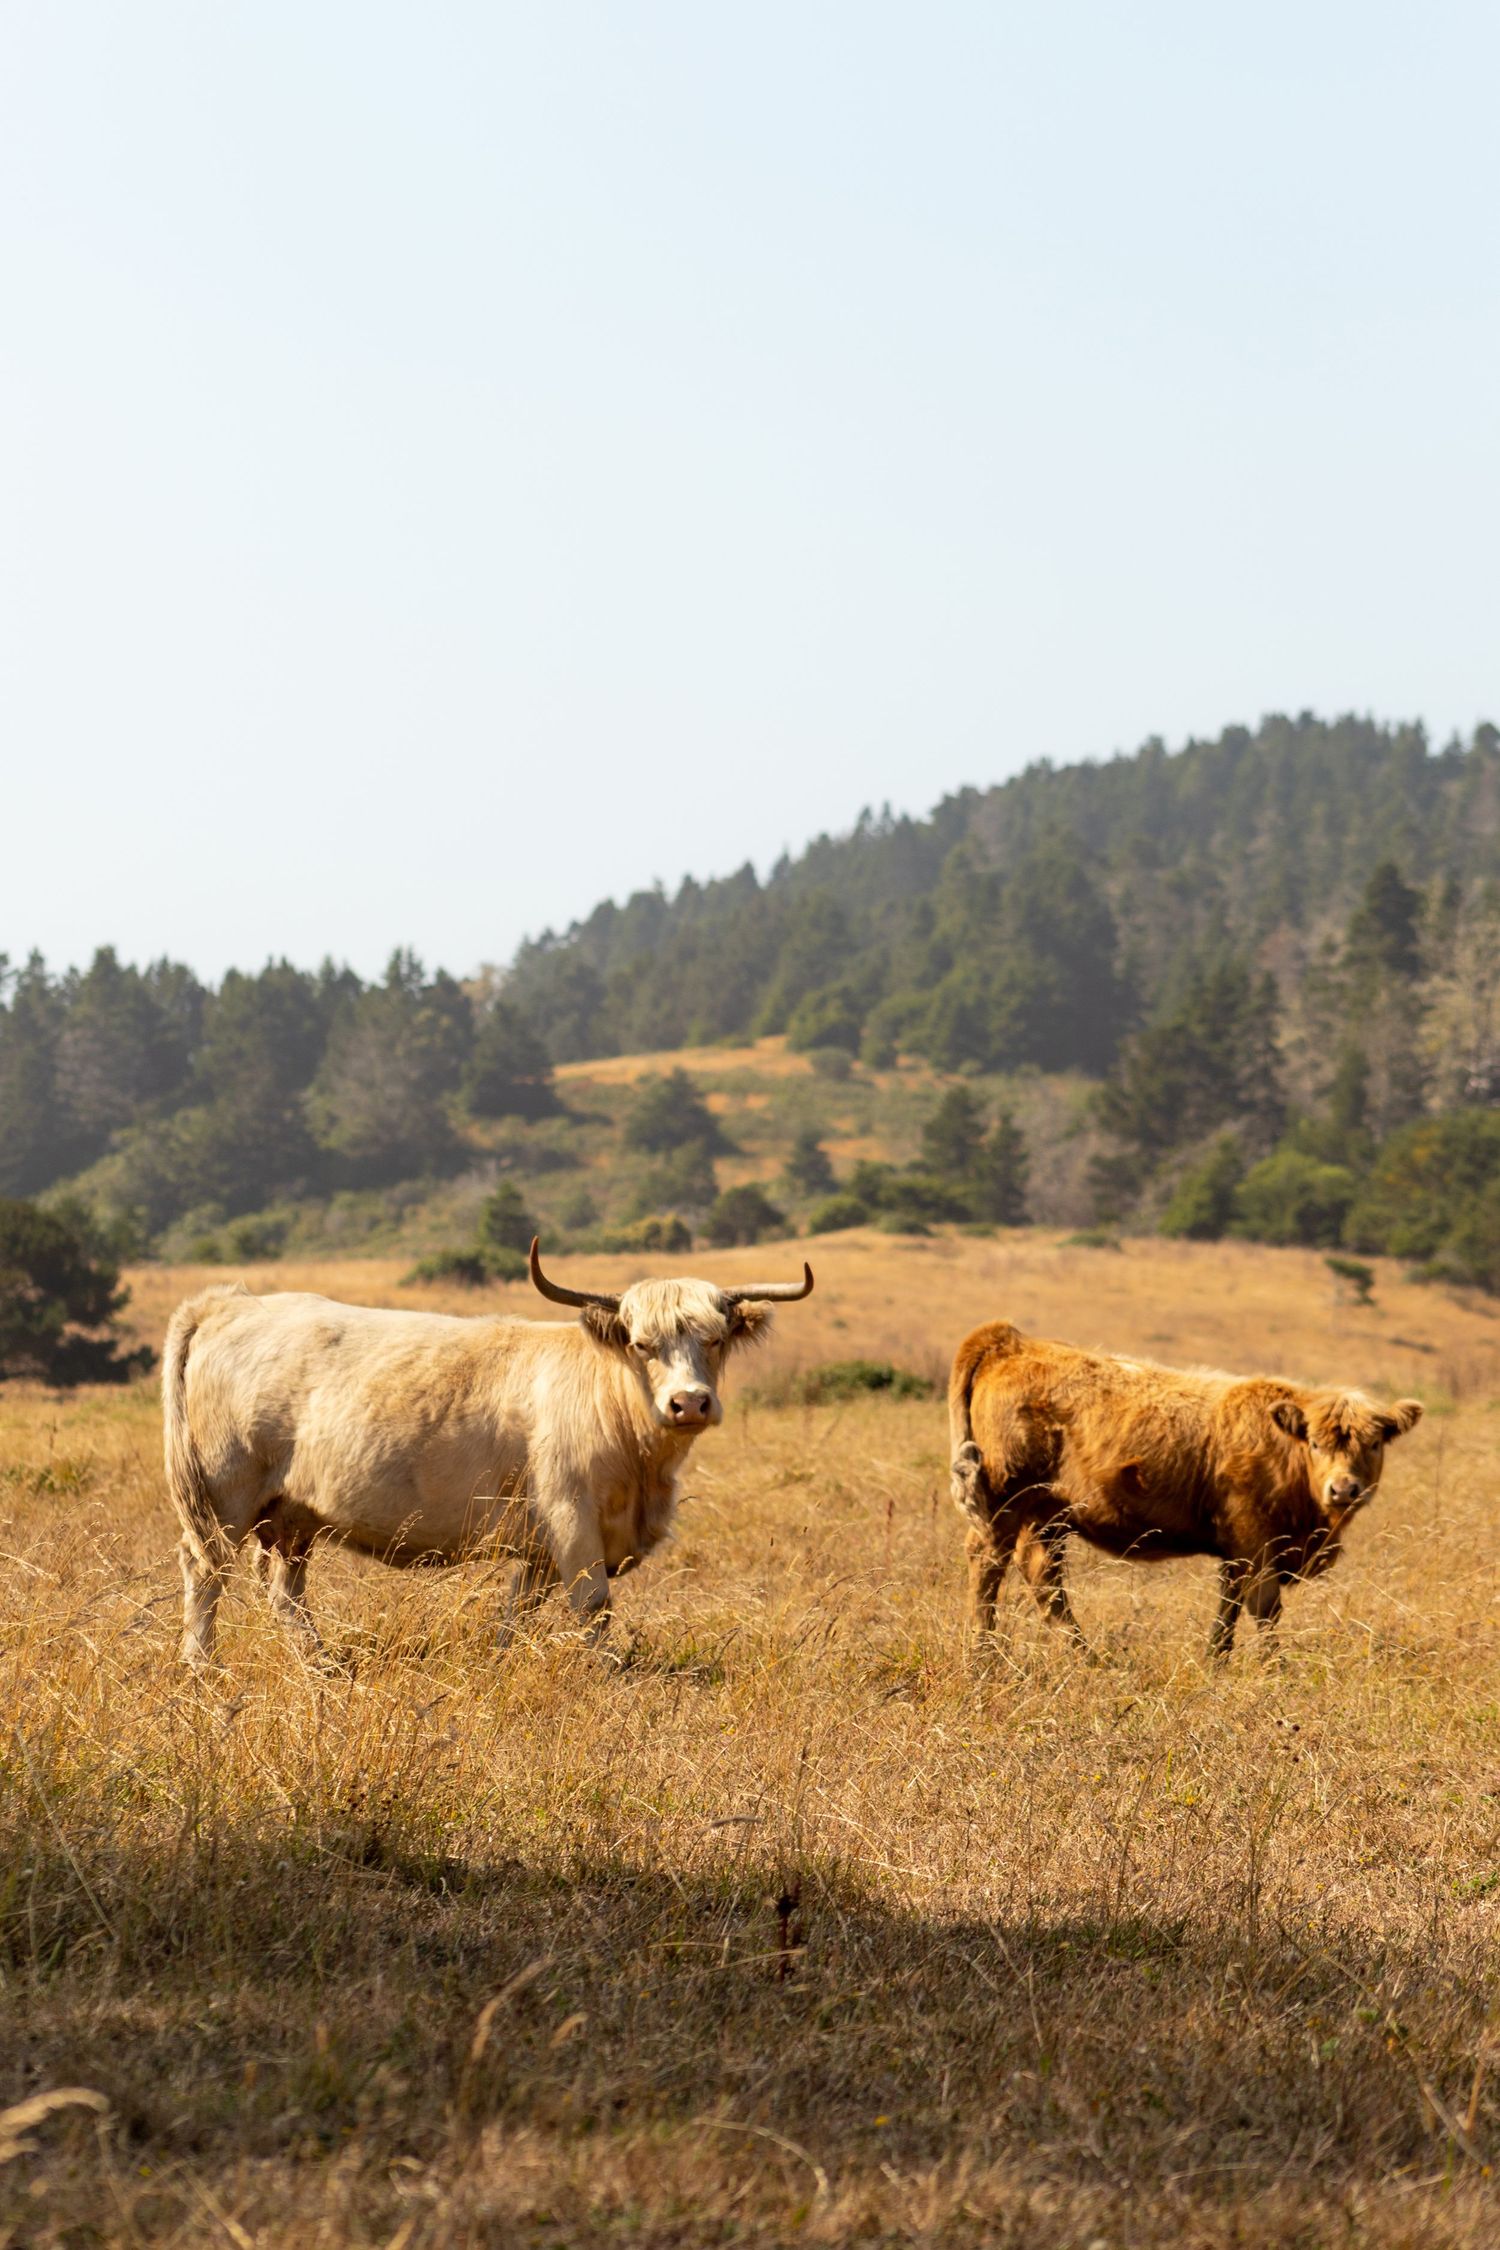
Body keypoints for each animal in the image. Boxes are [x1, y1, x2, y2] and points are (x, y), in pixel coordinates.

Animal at [164, 1239, 813, 1670]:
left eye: (715, 1339)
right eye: (640, 1344)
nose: (689, 1403)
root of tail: (229, 1304)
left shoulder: (541, 1545)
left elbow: (516, 1611)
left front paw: (499, 1663)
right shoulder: (571, 1517)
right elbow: (593, 1605)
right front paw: (608, 1675)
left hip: (293, 1515)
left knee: (285, 1592)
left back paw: (321, 1666)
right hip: (222, 1498)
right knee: (205, 1573)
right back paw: (203, 1669)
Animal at [948, 1319, 1423, 1661]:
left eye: (1374, 1443)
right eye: (1317, 1443)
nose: (1344, 1489)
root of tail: (1009, 1340)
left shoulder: (1239, 1550)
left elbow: (1229, 1605)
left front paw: (1216, 1659)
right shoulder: (1255, 1541)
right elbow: (1263, 1606)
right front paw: (1274, 1667)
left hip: (1046, 1513)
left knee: (1044, 1578)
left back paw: (1085, 1656)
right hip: (1004, 1501)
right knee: (988, 1564)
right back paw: (983, 1655)